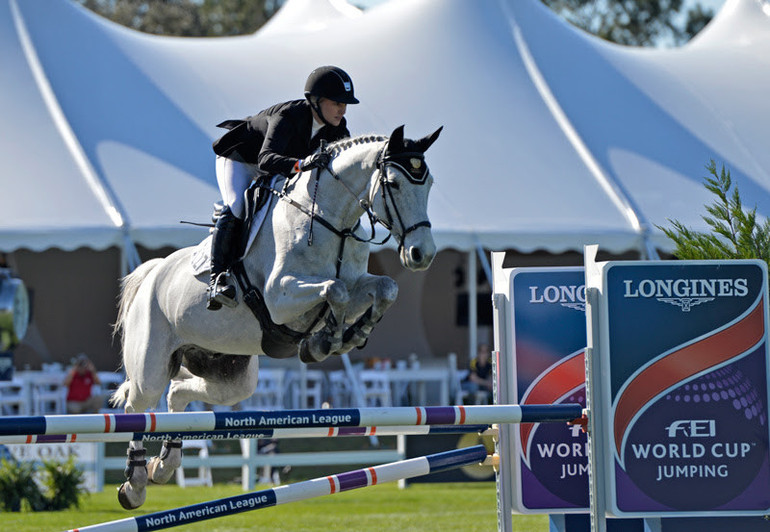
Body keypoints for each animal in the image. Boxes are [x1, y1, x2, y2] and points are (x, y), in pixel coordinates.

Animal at [111, 125, 440, 512]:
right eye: (394, 183)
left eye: (429, 183)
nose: (422, 254)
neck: (331, 221)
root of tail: (151, 272)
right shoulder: (281, 297)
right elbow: (335, 291)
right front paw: (327, 340)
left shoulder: (358, 282)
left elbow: (385, 288)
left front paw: (348, 335)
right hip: (150, 366)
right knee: (138, 408)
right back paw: (134, 483)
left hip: (229, 375)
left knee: (178, 393)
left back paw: (164, 464)